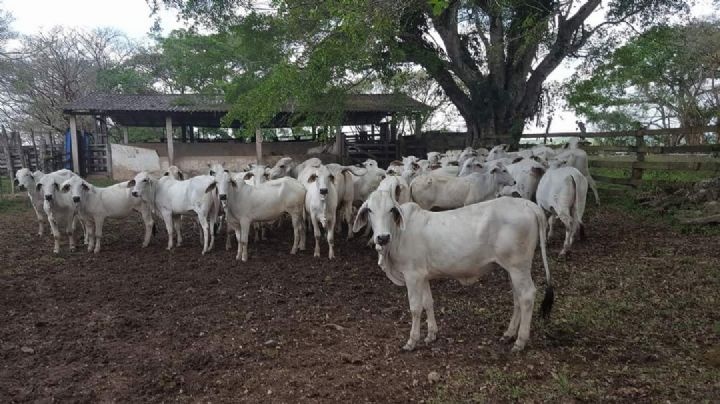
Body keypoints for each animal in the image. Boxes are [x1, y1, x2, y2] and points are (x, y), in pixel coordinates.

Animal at [352, 191, 556, 352]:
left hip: (518, 266)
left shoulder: (412, 275)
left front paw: (412, 341)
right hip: (511, 269)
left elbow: (415, 308)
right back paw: (508, 334)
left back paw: (520, 341)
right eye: (369, 210)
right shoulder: (423, 276)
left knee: (527, 296)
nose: (382, 237)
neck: (398, 234)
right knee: (517, 298)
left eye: (391, 210)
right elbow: (428, 303)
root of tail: (528, 204)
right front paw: (431, 334)